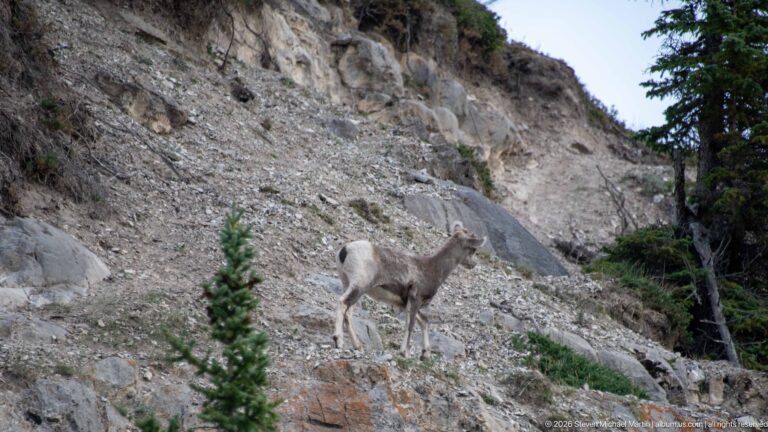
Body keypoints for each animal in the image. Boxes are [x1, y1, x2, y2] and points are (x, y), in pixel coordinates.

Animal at [333, 221, 486, 359]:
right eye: (473, 249)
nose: (473, 264)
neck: (433, 269)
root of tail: (345, 250)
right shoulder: (415, 300)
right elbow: (411, 324)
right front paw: (405, 353)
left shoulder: (408, 303)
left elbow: (423, 321)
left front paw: (425, 354)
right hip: (359, 286)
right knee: (343, 303)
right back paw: (338, 341)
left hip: (349, 285)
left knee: (348, 312)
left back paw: (357, 346)